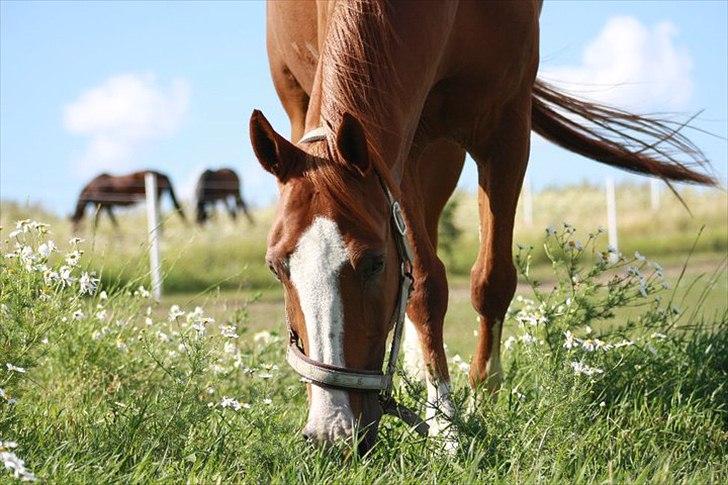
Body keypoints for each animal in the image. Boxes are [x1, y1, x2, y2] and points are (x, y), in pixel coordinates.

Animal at [252, 0, 716, 450]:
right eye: (275, 267)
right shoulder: (404, 149)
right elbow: (425, 285)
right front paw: (445, 423)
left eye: (374, 263)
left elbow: (489, 280)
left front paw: (473, 406)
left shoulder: (505, 128)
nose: (332, 433)